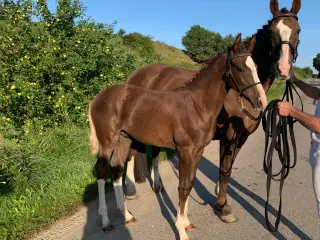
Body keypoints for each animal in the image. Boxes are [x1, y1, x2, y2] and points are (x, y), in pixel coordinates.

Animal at [89, 35, 266, 240]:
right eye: (240, 68)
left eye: (256, 67)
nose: (261, 101)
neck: (197, 104)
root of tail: (98, 98)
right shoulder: (185, 151)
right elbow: (183, 186)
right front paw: (181, 230)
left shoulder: (197, 151)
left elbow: (189, 183)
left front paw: (187, 223)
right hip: (107, 141)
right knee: (101, 171)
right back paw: (106, 222)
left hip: (123, 139)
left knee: (116, 168)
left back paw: (127, 216)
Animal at [124, 0, 302, 223]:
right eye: (272, 32)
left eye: (298, 30)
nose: (283, 69)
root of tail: (137, 74)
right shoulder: (229, 135)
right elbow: (224, 170)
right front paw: (223, 207)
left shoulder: (241, 137)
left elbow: (228, 168)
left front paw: (219, 196)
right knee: (131, 154)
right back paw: (130, 191)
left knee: (154, 151)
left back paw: (157, 185)